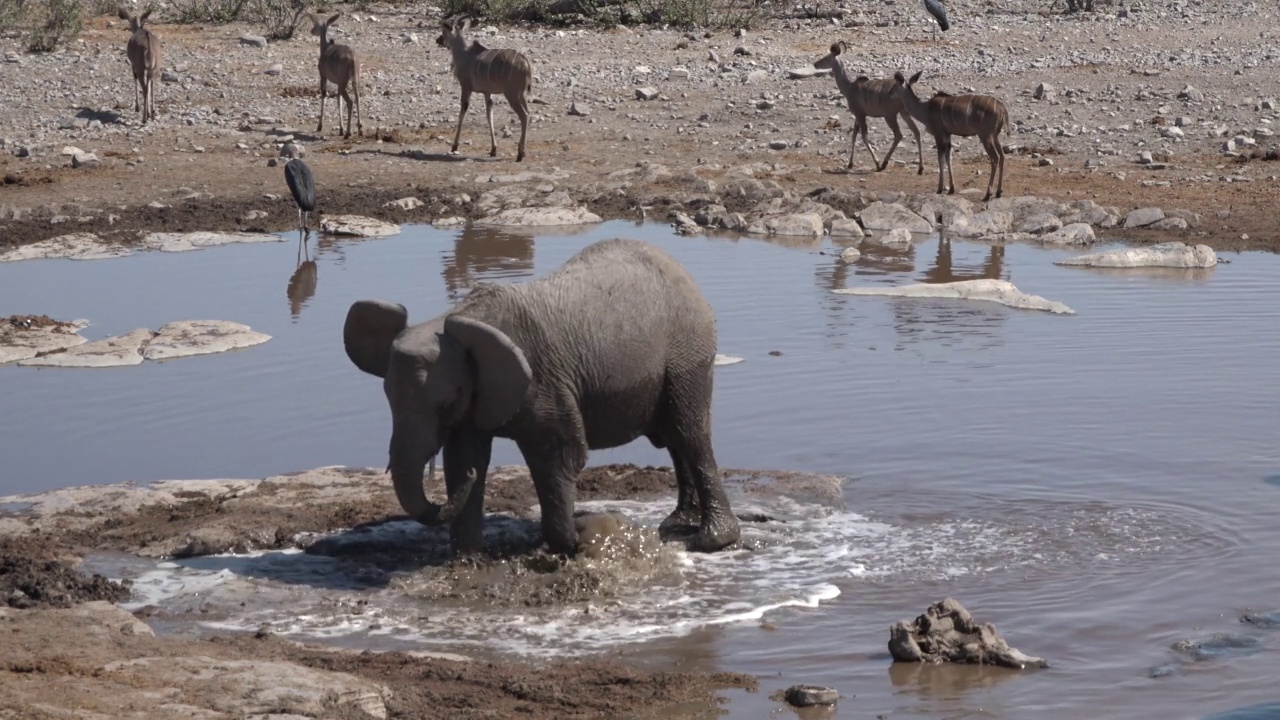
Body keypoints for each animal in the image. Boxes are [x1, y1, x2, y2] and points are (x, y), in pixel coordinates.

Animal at [311, 11, 363, 139]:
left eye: (316, 25)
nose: (311, 30)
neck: (326, 48)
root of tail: (352, 58)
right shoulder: (338, 83)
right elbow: (338, 101)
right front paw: (341, 129)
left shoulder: (323, 76)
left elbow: (324, 95)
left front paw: (320, 126)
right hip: (354, 81)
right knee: (357, 97)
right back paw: (359, 129)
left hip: (343, 82)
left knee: (350, 102)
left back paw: (348, 133)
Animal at [343, 238, 742, 550]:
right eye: (387, 399)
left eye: (445, 404)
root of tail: (680, 269)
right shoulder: (478, 394)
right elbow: (465, 457)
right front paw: (467, 560)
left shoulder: (544, 381)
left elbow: (558, 455)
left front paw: (573, 542)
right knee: (674, 438)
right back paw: (676, 524)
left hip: (688, 353)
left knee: (689, 434)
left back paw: (709, 541)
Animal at [437, 15, 532, 162]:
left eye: (444, 32)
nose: (438, 40)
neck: (463, 55)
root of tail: (526, 63)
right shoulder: (487, 93)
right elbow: (489, 115)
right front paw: (493, 149)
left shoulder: (466, 87)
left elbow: (462, 113)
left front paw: (454, 146)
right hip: (521, 95)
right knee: (528, 113)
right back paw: (523, 152)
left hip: (511, 94)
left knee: (524, 115)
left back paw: (520, 154)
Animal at [814, 40, 926, 175]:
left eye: (825, 58)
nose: (815, 64)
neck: (848, 88)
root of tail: (907, 85)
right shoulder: (858, 115)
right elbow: (854, 136)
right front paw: (850, 164)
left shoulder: (860, 114)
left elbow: (863, 136)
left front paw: (877, 163)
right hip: (904, 112)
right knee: (916, 131)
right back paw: (920, 168)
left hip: (890, 115)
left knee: (899, 134)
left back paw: (884, 164)